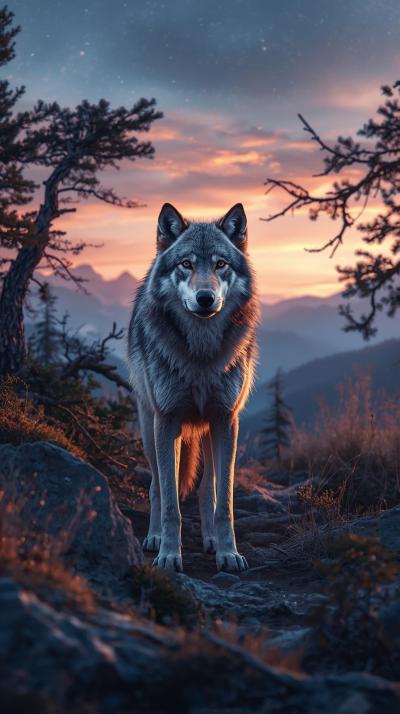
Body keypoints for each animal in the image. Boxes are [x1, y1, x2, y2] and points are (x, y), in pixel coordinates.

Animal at [127, 202, 258, 572]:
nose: (205, 298)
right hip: (150, 428)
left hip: (212, 431)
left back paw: (211, 541)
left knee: (206, 490)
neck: (200, 355)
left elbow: (224, 502)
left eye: (220, 264)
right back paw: (154, 537)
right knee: (157, 486)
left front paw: (229, 553)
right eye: (186, 264)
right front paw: (169, 554)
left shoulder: (226, 420)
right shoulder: (167, 420)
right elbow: (171, 502)